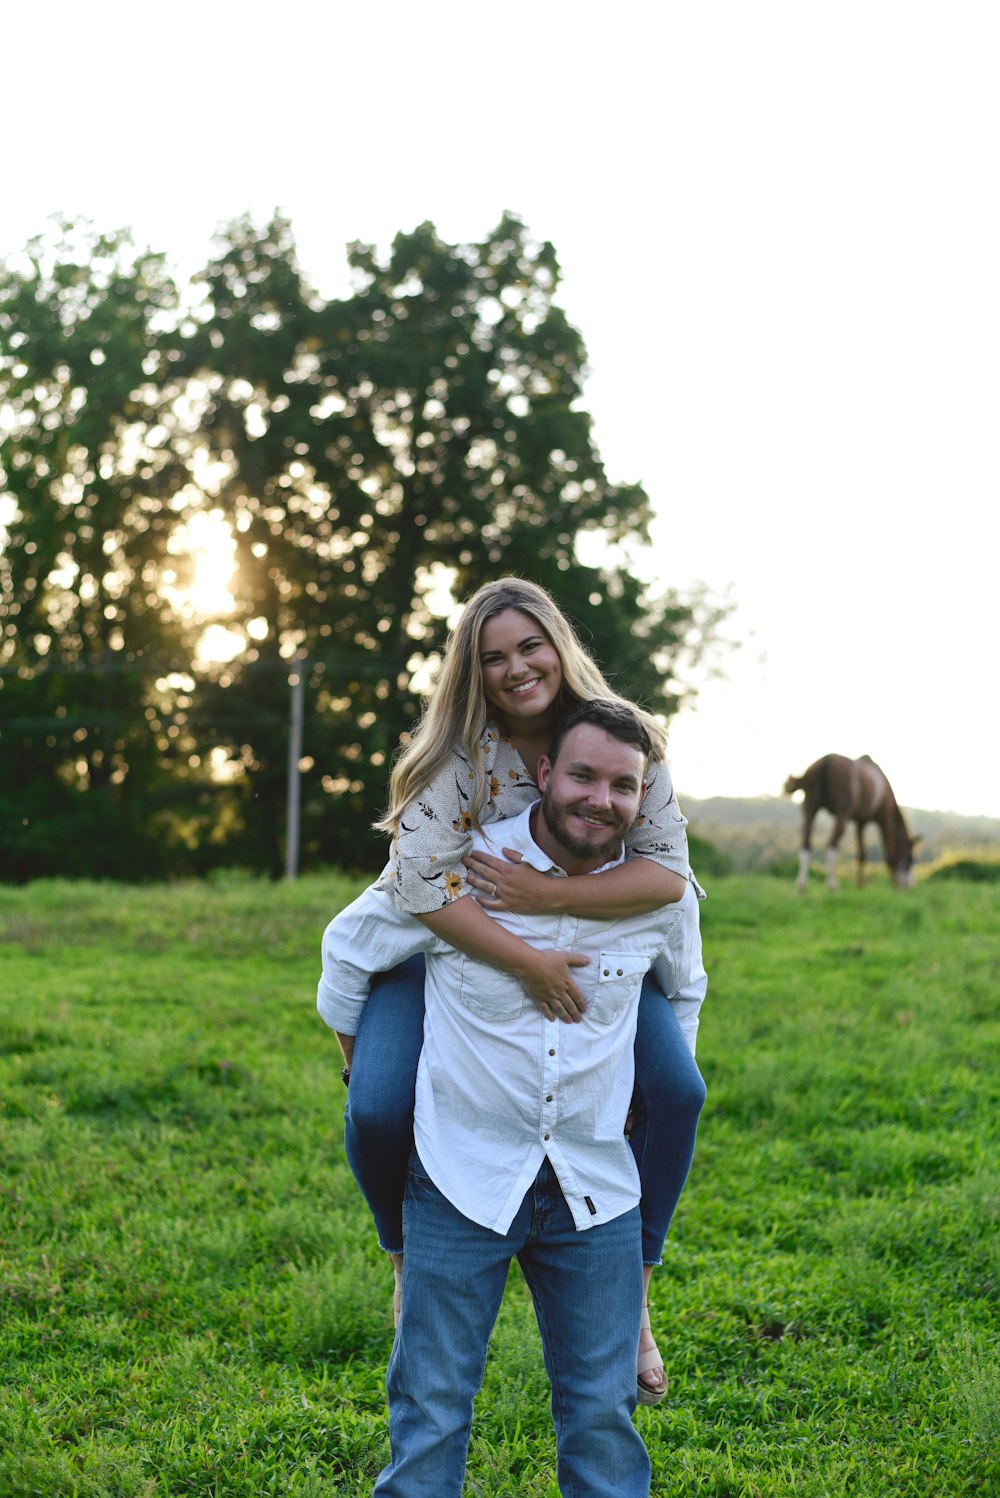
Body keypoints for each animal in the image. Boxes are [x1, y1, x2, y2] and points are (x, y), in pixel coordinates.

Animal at [784, 749, 916, 886]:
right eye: (909, 860)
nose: (909, 885)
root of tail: (825, 761)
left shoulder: (860, 821)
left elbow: (861, 855)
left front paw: (859, 886)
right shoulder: (884, 816)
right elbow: (887, 852)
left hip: (810, 807)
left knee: (806, 843)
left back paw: (802, 884)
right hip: (842, 813)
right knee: (832, 844)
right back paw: (832, 884)